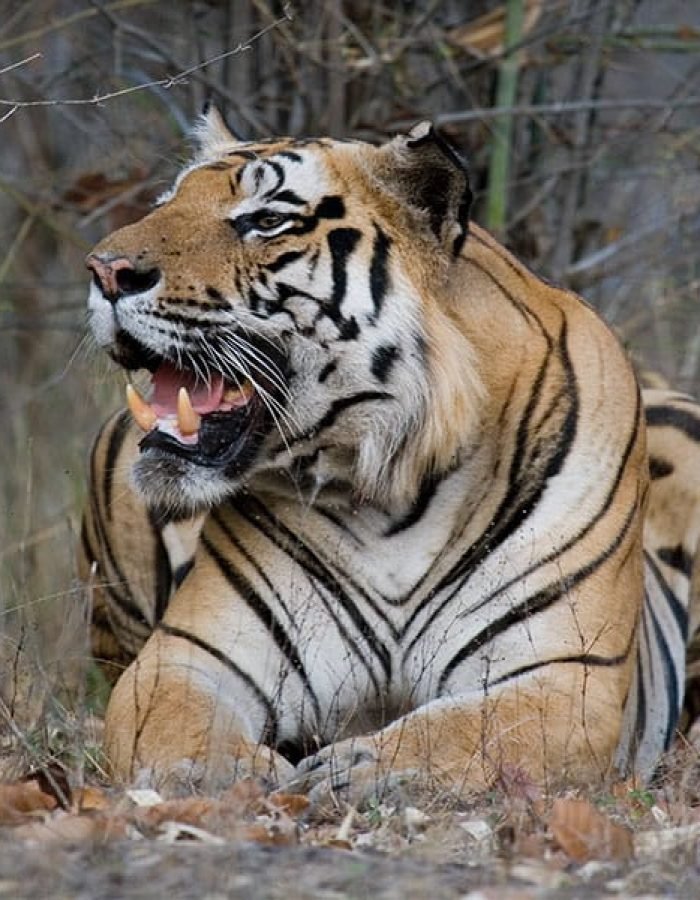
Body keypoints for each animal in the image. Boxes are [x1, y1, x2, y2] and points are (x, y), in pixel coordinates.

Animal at [79, 106, 700, 801]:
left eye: (264, 220)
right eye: (167, 203)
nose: (104, 270)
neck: (392, 496)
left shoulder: (566, 677)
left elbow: (468, 730)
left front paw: (354, 768)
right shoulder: (190, 655)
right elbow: (176, 727)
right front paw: (237, 774)